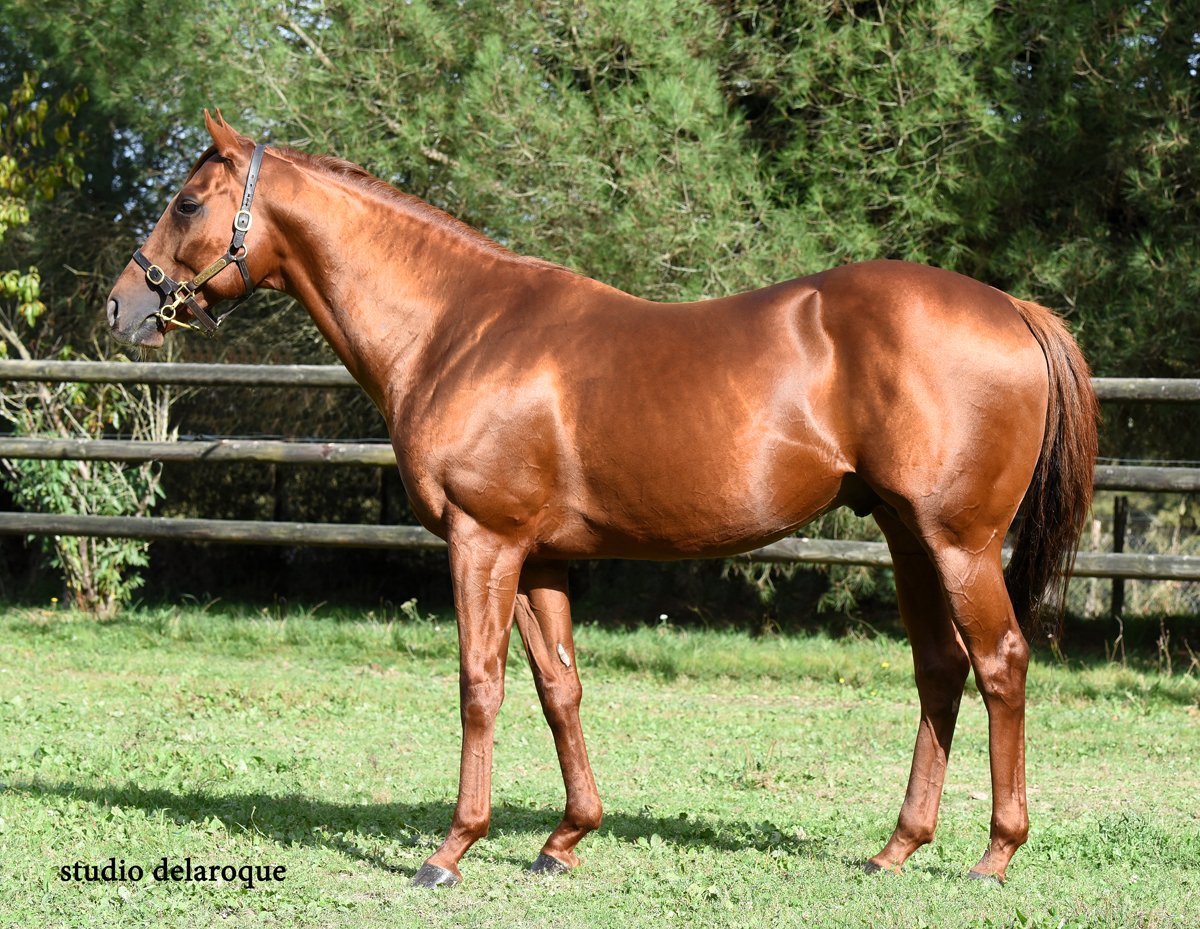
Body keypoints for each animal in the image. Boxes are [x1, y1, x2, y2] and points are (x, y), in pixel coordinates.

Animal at [106, 111, 1098, 887]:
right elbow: (560, 686)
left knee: (1000, 661)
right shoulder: (539, 554)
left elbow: (480, 683)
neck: (456, 327)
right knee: (939, 668)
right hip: (905, 536)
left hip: (958, 540)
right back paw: (897, 848)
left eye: (186, 202)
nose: (121, 307)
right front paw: (564, 838)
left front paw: (450, 849)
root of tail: (1011, 308)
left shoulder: (483, 539)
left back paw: (995, 853)